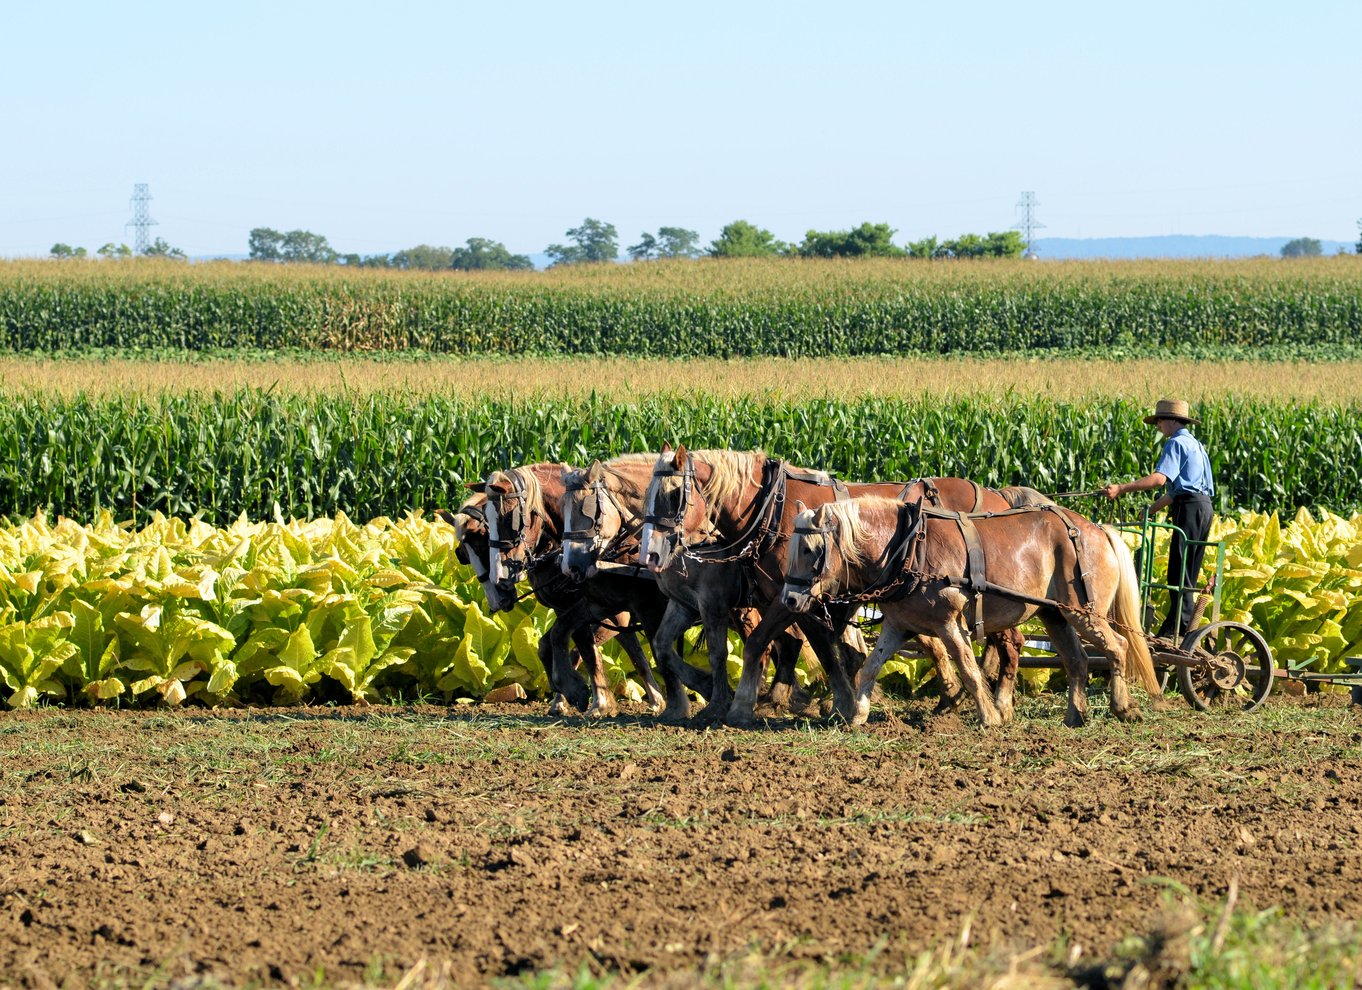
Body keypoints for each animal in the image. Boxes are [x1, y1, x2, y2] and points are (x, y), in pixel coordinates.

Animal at [784, 495, 1154, 729]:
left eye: (810, 549)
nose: (788, 600)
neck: (908, 548)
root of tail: (1096, 528)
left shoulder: (950, 622)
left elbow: (968, 668)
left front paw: (989, 717)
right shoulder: (898, 625)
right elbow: (870, 668)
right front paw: (858, 715)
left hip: (1085, 613)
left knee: (1117, 647)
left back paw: (1122, 707)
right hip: (1055, 615)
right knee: (1077, 660)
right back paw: (1074, 717)